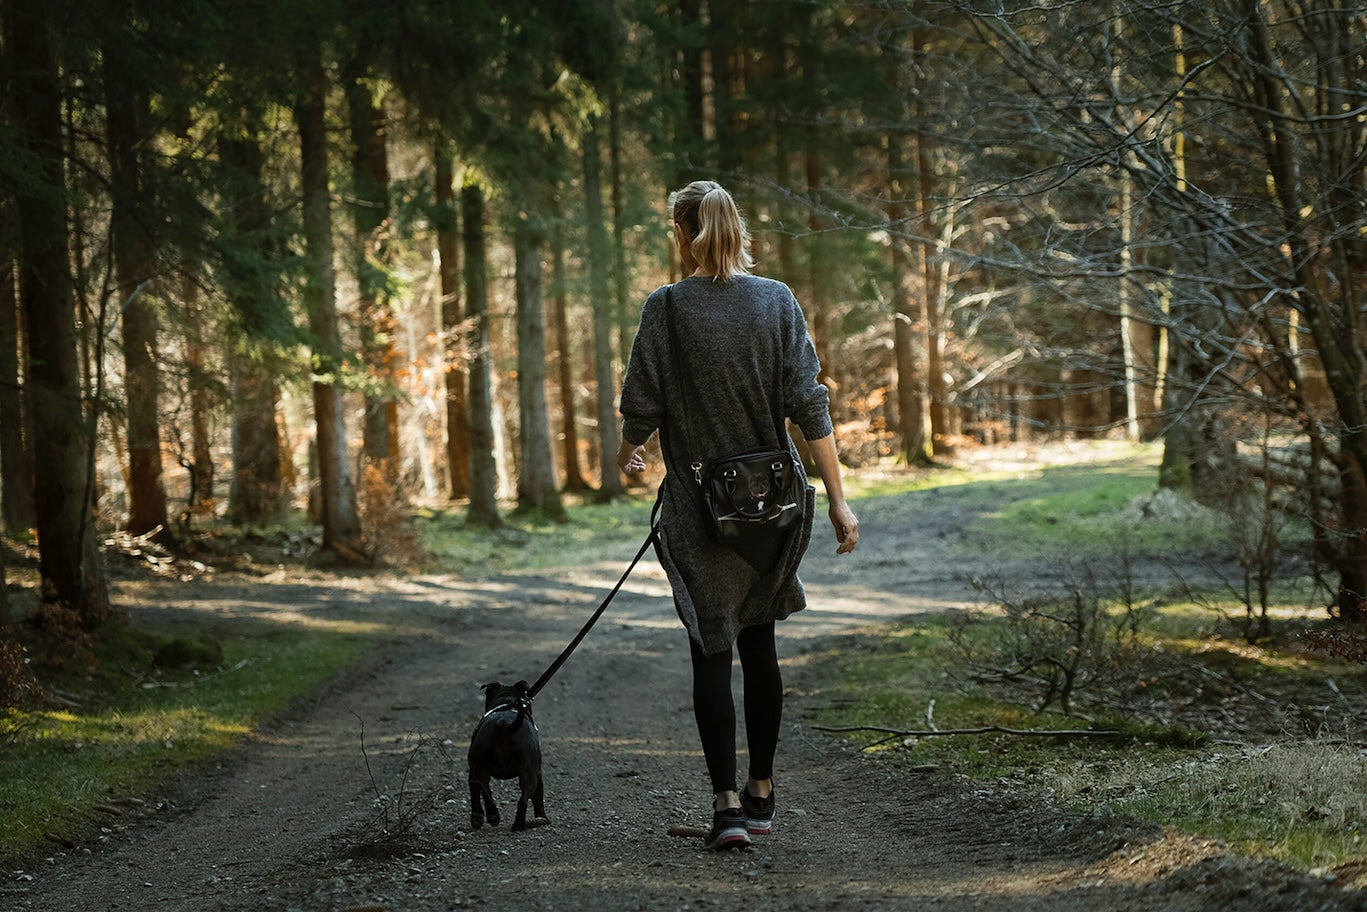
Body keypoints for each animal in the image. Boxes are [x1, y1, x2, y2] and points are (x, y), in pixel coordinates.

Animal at [464, 678, 538, 836]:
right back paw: (518, 825)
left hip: (478, 767)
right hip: (529, 774)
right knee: (523, 799)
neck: (507, 703)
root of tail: (503, 724)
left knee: (483, 789)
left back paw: (489, 817)